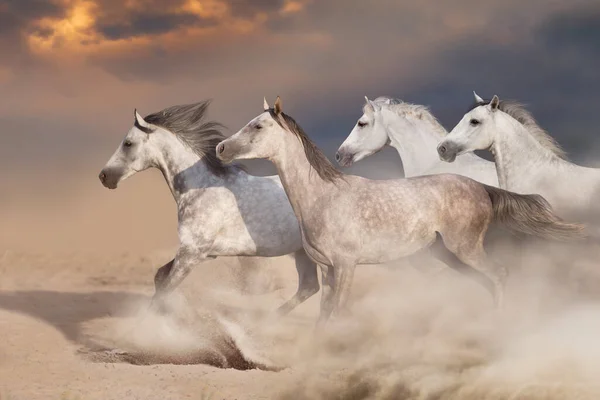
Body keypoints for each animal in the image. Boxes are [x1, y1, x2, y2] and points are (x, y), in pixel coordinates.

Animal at [100, 100, 322, 316]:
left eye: (128, 143)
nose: (104, 176)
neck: (202, 187)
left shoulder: (192, 253)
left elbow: (165, 286)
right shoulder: (197, 252)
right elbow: (160, 277)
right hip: (302, 252)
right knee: (309, 286)